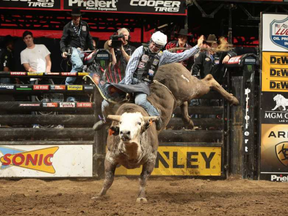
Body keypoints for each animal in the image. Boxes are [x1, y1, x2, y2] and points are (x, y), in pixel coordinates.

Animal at [93, 62, 238, 202]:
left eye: (139, 123)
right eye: (120, 123)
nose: (125, 133)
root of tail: (171, 64)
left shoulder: (151, 158)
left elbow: (143, 178)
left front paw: (141, 197)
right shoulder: (110, 157)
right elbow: (108, 179)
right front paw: (99, 195)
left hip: (189, 87)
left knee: (208, 79)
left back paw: (233, 99)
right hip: (182, 94)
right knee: (184, 102)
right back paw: (188, 122)